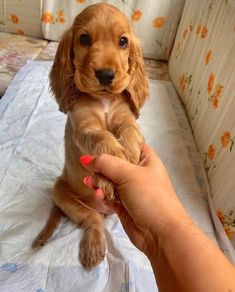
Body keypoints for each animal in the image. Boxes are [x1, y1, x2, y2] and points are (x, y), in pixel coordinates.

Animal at [32, 3, 149, 270]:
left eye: (123, 41)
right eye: (84, 39)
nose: (105, 75)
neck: (103, 100)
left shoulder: (125, 117)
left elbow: (130, 131)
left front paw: (130, 157)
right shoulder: (84, 127)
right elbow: (102, 139)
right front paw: (114, 168)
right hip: (62, 194)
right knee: (93, 221)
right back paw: (93, 247)